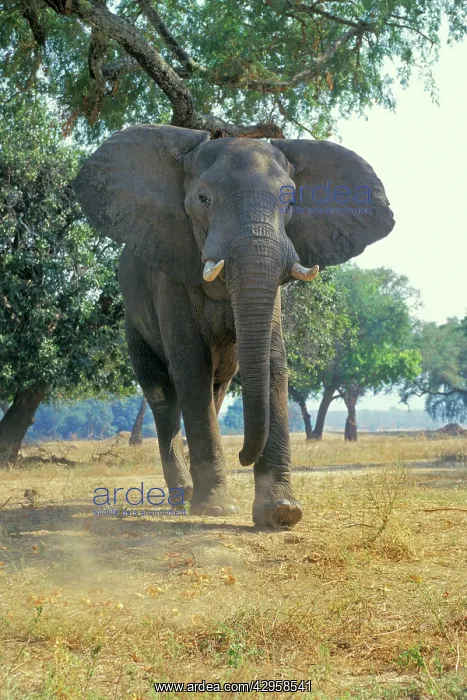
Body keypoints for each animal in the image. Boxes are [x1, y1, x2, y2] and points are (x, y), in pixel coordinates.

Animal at [74, 125, 394, 527]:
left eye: (290, 201)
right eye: (203, 199)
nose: (243, 455)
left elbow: (272, 361)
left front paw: (282, 513)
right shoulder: (171, 273)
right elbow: (190, 365)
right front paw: (217, 508)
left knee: (215, 389)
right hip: (133, 323)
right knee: (164, 397)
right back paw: (184, 498)